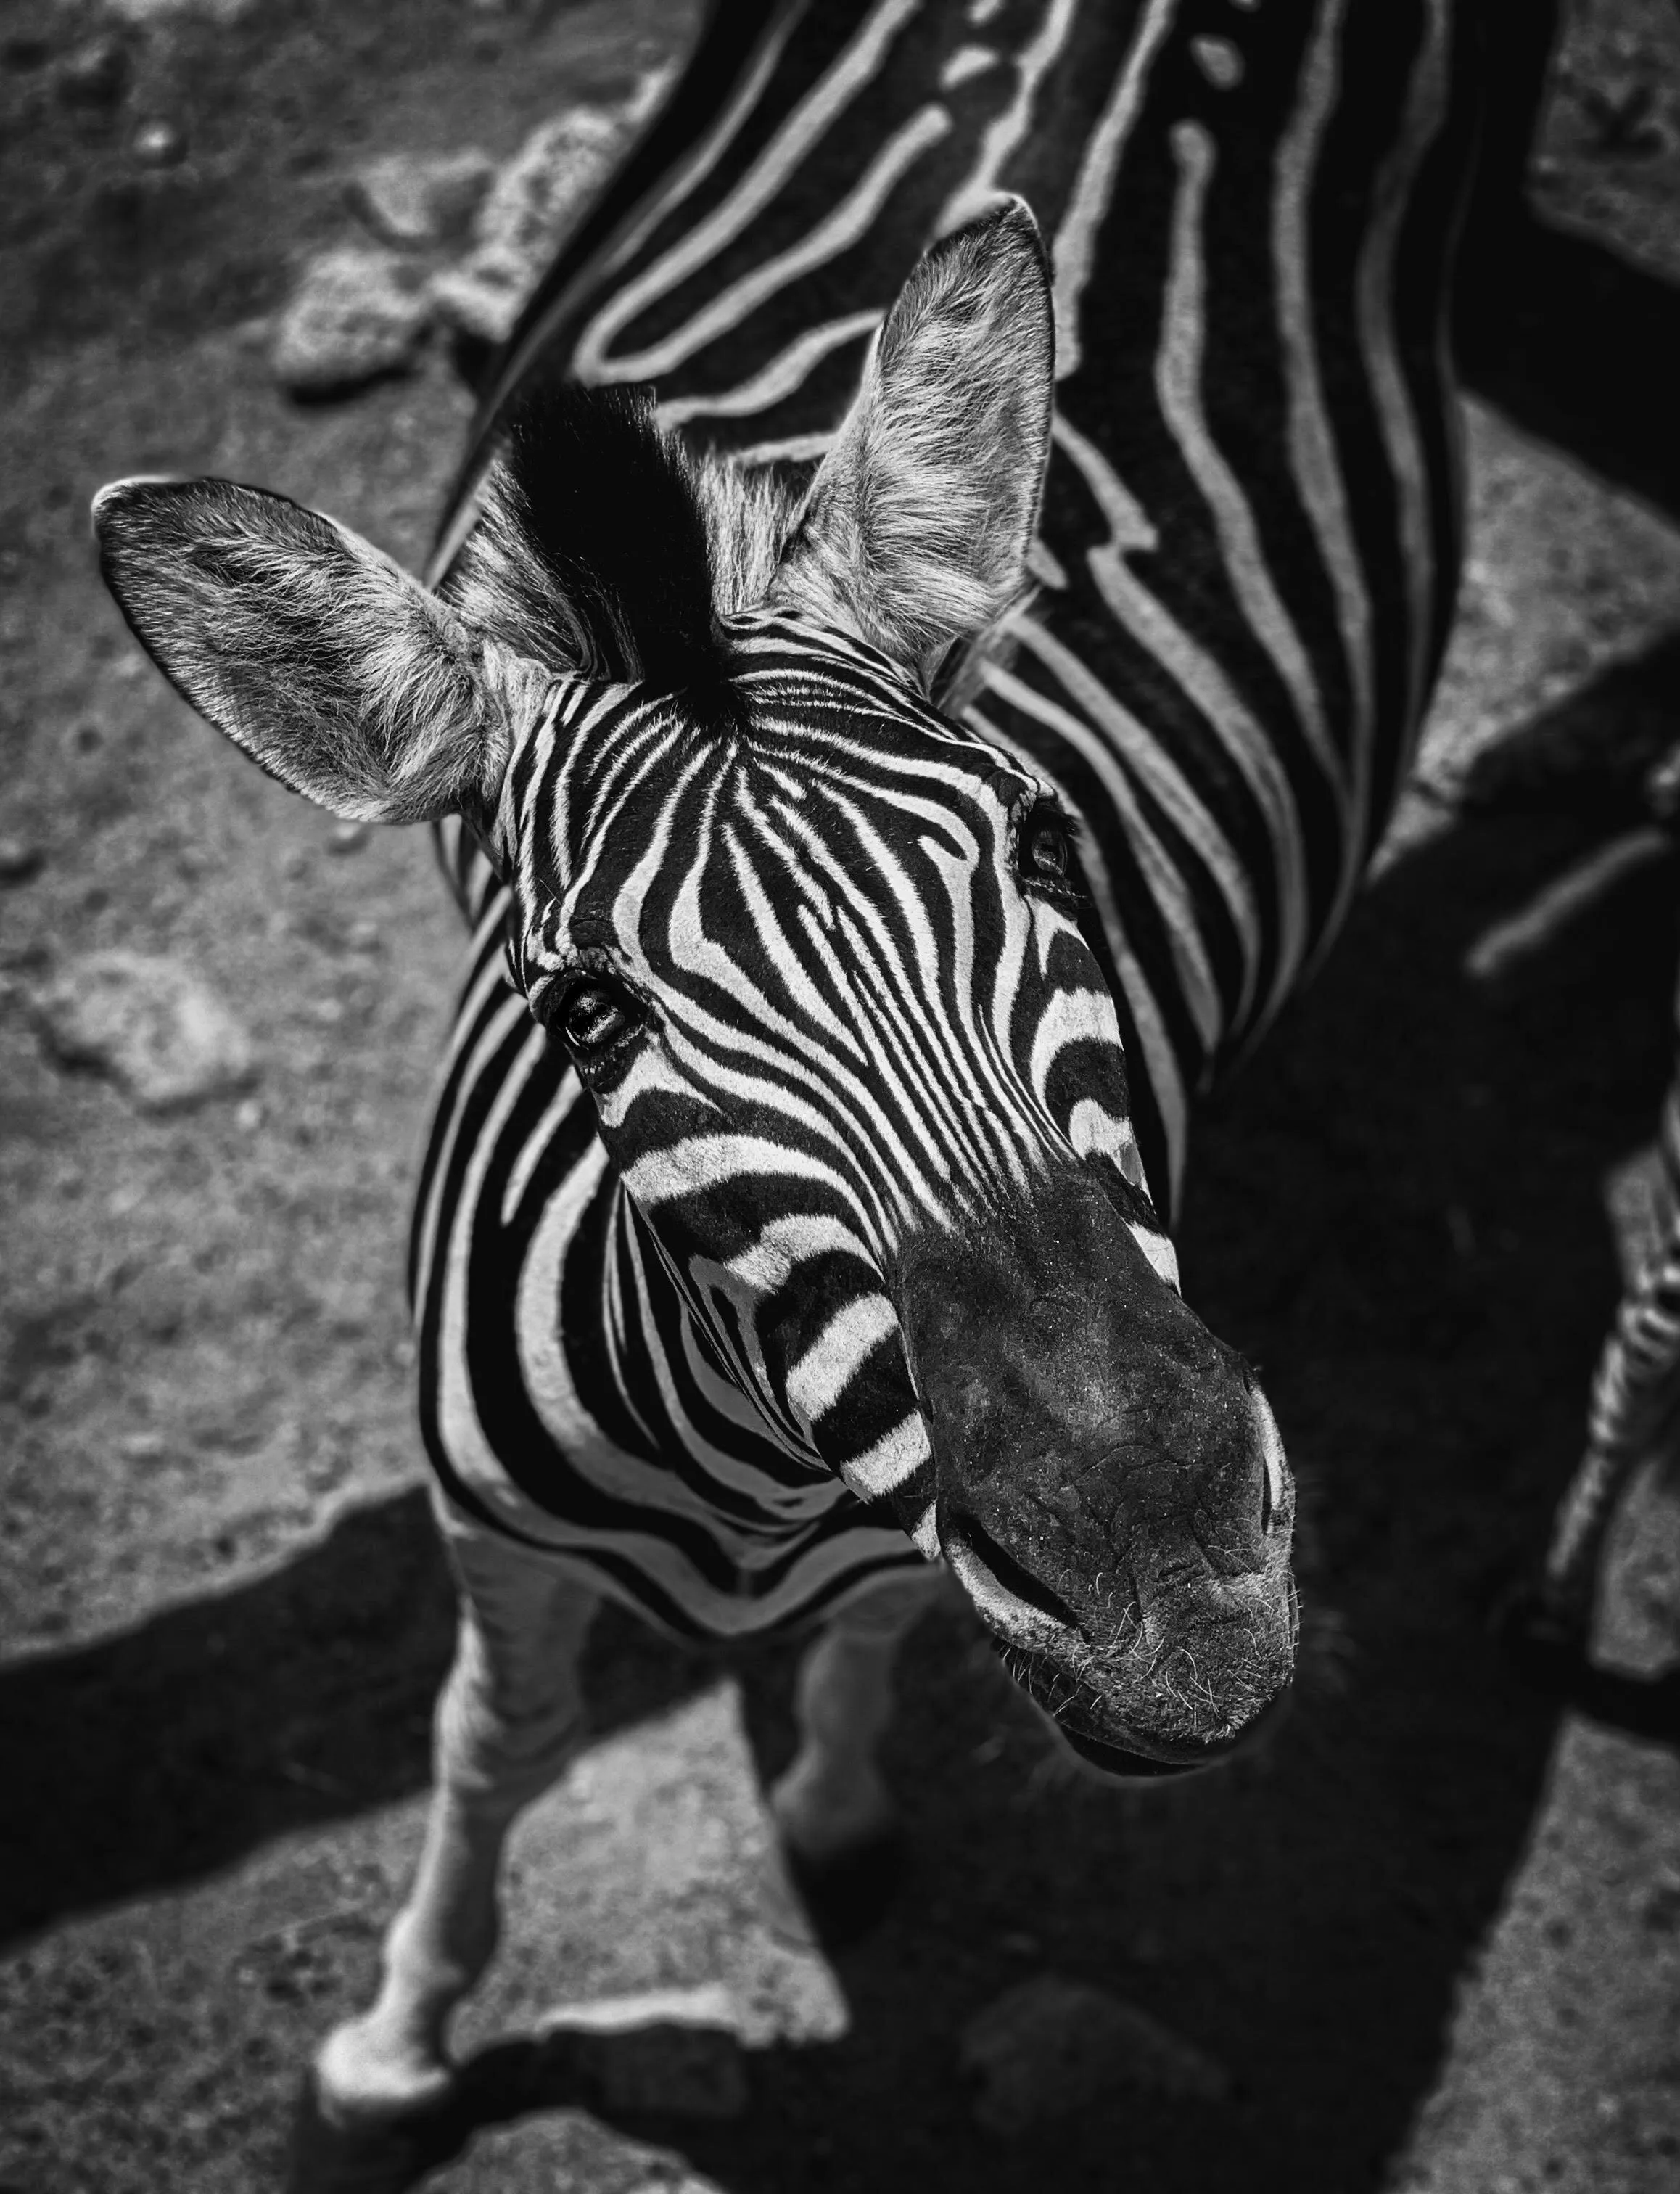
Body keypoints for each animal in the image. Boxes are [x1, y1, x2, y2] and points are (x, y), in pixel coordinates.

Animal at [91, 0, 1476, 2168]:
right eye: (584, 1013)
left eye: (1050, 847)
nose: (1167, 1590)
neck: (745, 1469)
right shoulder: (490, 1528)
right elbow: (494, 1743)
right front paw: (401, 2034)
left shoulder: (915, 1511)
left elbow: (879, 1628)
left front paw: (828, 1810)